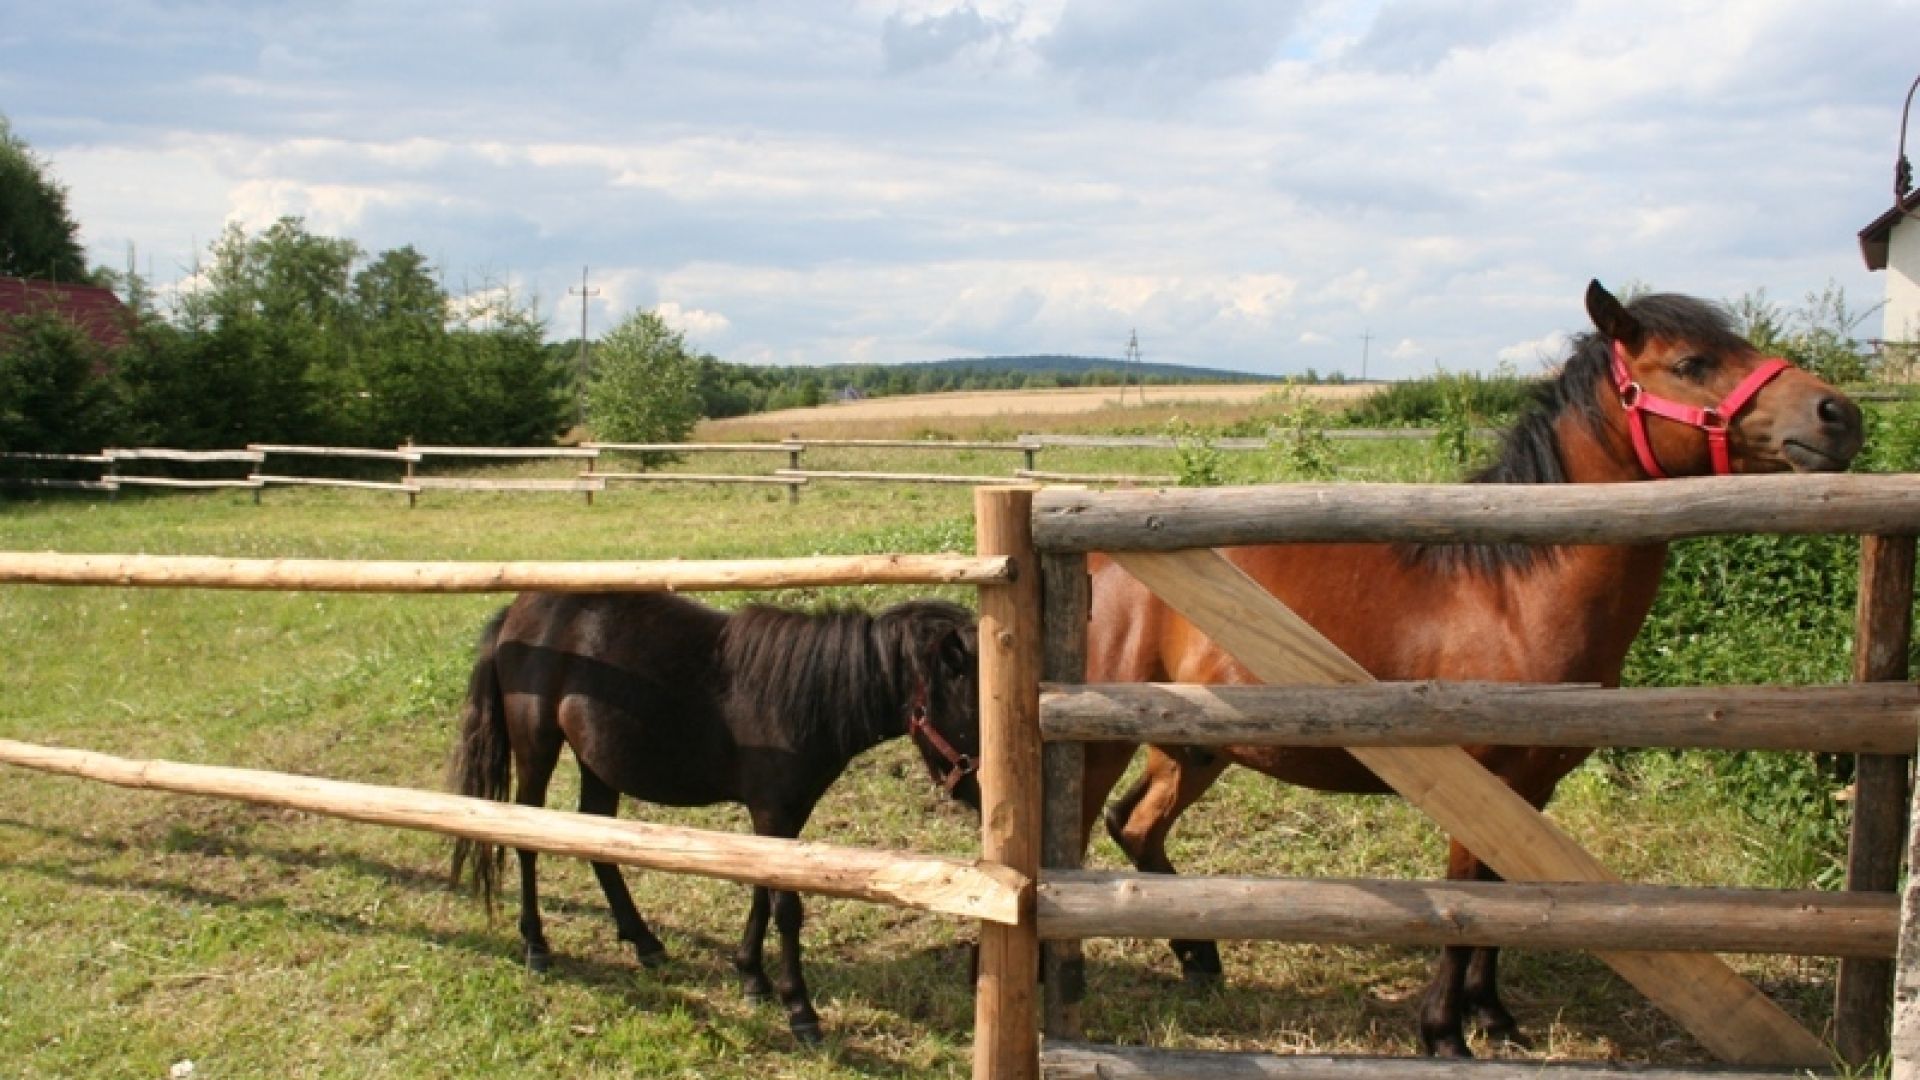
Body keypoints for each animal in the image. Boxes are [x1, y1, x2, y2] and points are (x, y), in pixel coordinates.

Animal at [447, 591, 975, 1037]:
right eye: (971, 713)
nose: (976, 795)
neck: (803, 698)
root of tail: (515, 612)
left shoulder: (781, 817)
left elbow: (763, 890)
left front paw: (752, 978)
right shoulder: (773, 812)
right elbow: (787, 908)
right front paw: (800, 1010)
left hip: (597, 760)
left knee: (597, 840)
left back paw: (644, 942)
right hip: (536, 747)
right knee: (528, 838)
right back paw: (537, 946)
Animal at [1082, 282, 1858, 1053]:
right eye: (1692, 362)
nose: (1840, 416)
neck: (1514, 596)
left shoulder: (1531, 790)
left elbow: (1507, 901)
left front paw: (1494, 1016)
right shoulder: (1476, 786)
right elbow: (1468, 903)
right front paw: (1444, 1033)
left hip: (1196, 748)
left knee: (1136, 826)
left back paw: (1199, 957)